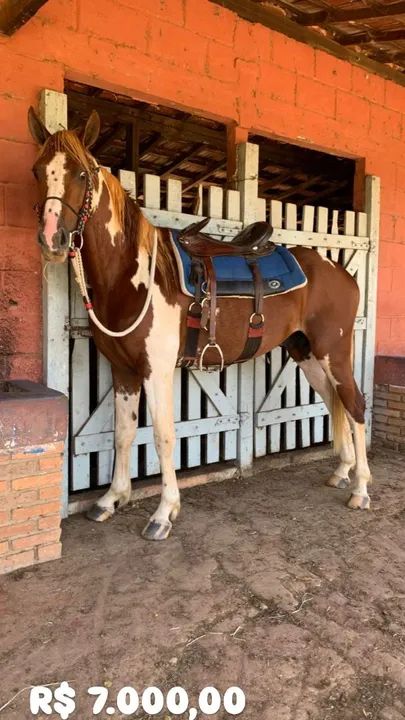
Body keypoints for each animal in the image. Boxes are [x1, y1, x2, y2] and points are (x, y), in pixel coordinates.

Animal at [28, 107, 372, 541]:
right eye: (38, 170)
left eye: (81, 174)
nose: (52, 239)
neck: (134, 275)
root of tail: (340, 272)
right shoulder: (123, 370)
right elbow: (123, 434)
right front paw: (111, 500)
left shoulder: (156, 370)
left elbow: (162, 436)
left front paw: (163, 513)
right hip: (306, 353)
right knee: (334, 402)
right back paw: (342, 471)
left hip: (334, 351)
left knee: (354, 404)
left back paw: (361, 489)